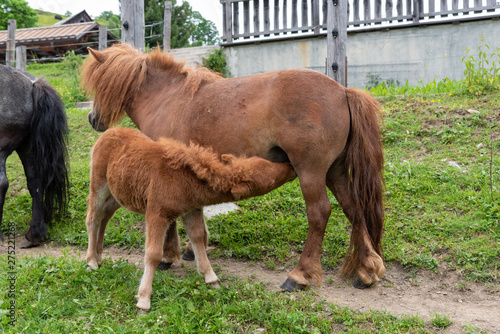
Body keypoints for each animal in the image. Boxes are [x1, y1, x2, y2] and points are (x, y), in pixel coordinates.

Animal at [82, 43, 386, 290]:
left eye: (99, 85)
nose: (92, 119)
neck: (166, 99)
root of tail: (343, 91)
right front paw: (189, 252)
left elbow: (172, 220)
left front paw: (170, 256)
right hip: (335, 172)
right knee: (354, 209)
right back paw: (367, 270)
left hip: (311, 173)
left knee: (319, 213)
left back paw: (300, 275)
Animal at [86, 127, 296, 310]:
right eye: (269, 182)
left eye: (264, 161)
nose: (291, 167)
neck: (184, 180)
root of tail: (108, 132)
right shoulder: (156, 214)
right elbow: (153, 253)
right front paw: (144, 299)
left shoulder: (191, 210)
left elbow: (197, 238)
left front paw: (210, 277)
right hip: (99, 185)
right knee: (93, 218)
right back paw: (91, 261)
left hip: (118, 194)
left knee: (105, 216)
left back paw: (99, 255)